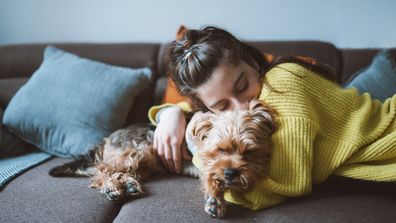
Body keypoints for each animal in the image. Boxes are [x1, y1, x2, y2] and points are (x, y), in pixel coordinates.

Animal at [49, 99, 276, 218]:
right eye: (220, 149)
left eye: (249, 152)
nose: (230, 173)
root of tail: (109, 137)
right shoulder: (207, 162)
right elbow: (211, 174)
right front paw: (215, 198)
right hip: (140, 150)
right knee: (102, 170)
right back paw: (112, 187)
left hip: (147, 161)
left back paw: (128, 184)